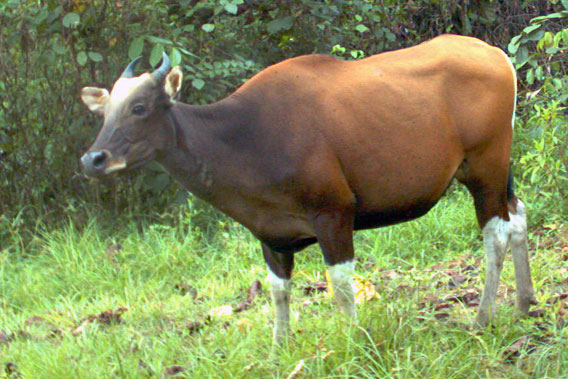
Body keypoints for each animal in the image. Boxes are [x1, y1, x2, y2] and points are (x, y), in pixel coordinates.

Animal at [80, 35, 536, 344]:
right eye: (104, 112)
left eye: (139, 107)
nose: (93, 159)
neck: (246, 137)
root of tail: (496, 55)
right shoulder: (270, 233)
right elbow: (279, 292)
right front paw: (280, 348)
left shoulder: (334, 213)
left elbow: (341, 288)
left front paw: (353, 342)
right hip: (495, 172)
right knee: (518, 215)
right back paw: (525, 302)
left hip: (485, 167)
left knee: (495, 234)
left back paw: (483, 318)